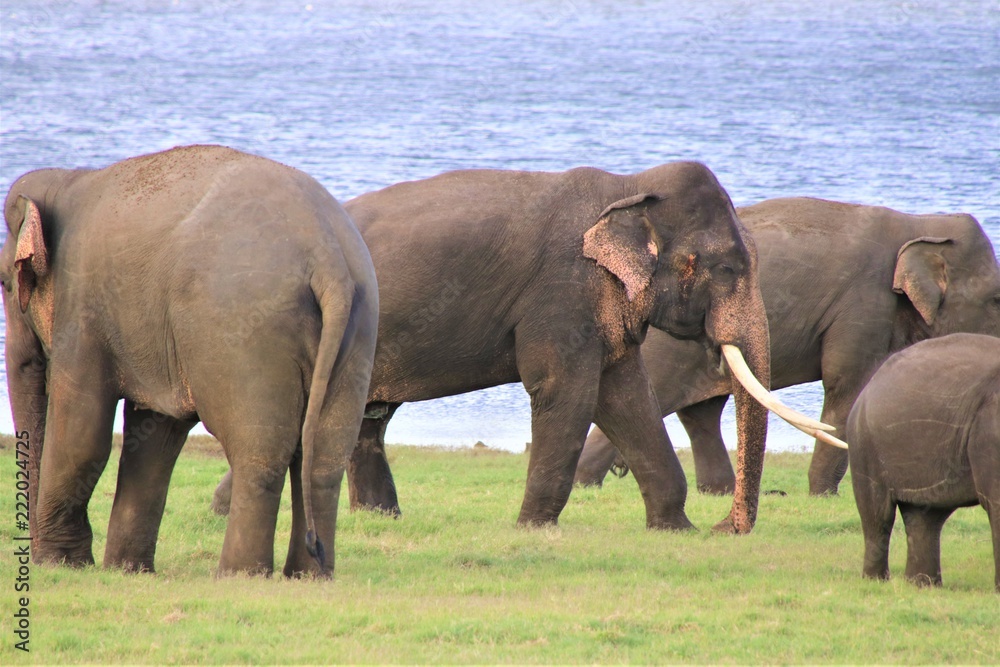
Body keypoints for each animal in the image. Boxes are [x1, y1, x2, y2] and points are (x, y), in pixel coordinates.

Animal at [1, 147, 376, 580]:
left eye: (6, 284)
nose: (31, 555)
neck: (68, 179)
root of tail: (328, 257)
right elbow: (155, 437)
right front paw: (127, 571)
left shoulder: (82, 310)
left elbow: (83, 433)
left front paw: (61, 564)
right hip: (359, 329)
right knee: (324, 458)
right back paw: (307, 575)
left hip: (243, 334)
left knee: (259, 453)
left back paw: (238, 575)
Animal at [219, 159, 836, 536]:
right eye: (728, 268)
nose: (724, 526)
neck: (625, 186)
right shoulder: (561, 291)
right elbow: (567, 392)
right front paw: (533, 529)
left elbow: (624, 395)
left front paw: (674, 530)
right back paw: (224, 510)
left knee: (367, 418)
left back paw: (381, 518)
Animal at [572, 198, 1000, 496]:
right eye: (997, 299)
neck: (923, 222)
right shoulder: (862, 305)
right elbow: (846, 386)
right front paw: (822, 496)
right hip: (666, 348)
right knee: (653, 400)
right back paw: (584, 485)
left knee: (701, 413)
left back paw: (718, 492)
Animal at [844, 334, 1000, 588]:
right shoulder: (989, 431)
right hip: (864, 442)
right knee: (878, 514)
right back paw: (877, 581)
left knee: (926, 515)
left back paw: (921, 585)